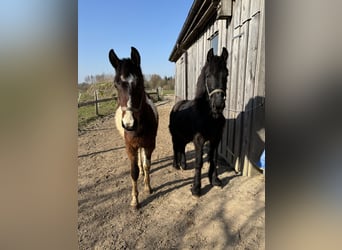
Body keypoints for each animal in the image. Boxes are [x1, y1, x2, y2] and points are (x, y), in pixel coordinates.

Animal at [109, 47, 158, 209]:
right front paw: (135, 200)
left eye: (139, 82)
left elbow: (147, 165)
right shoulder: (130, 147)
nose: (129, 124)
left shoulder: (149, 145)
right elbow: (134, 171)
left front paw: (148, 187)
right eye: (116, 84)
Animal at [169, 47, 228, 197]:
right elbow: (199, 162)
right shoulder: (199, 140)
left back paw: (183, 164)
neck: (208, 115)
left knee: (182, 147)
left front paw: (215, 180)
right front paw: (196, 188)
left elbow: (213, 159)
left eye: (226, 75)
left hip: (184, 136)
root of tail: (176, 106)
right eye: (208, 76)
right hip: (175, 136)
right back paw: (176, 165)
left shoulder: (216, 139)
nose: (218, 105)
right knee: (175, 147)